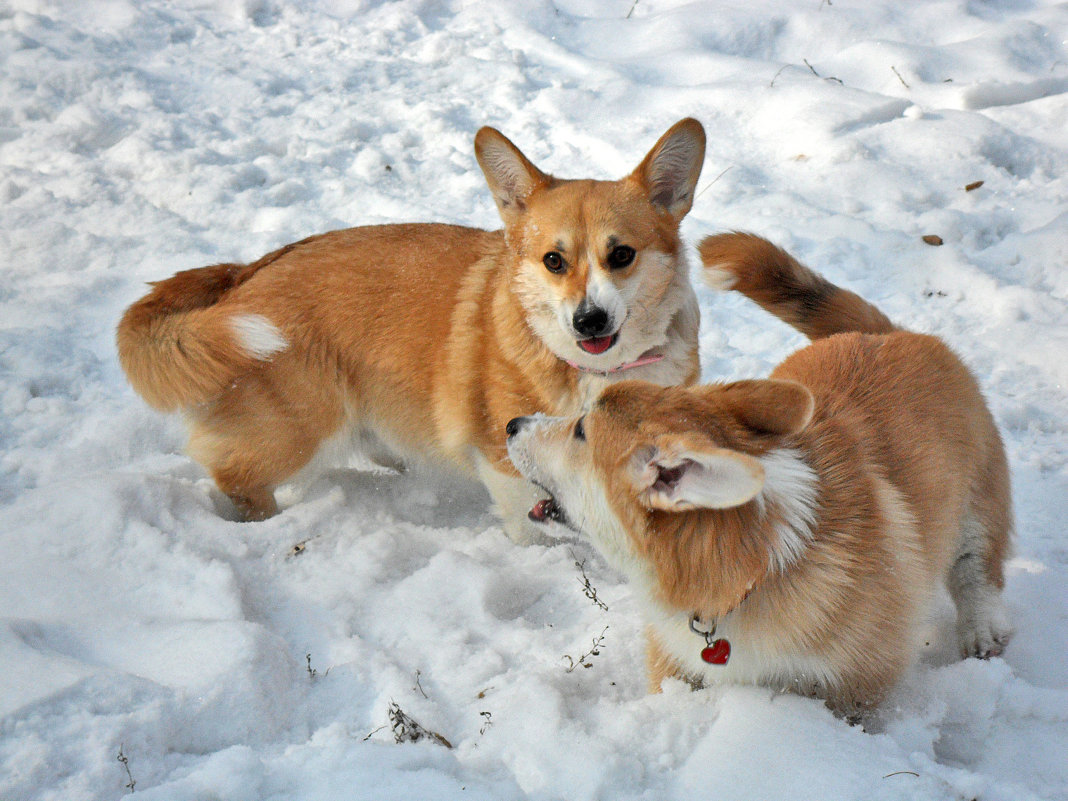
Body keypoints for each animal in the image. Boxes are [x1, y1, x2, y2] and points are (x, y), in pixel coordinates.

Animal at [119, 119, 709, 542]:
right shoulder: (505, 460)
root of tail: (240, 278)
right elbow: (533, 523)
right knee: (236, 478)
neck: (597, 370)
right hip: (298, 428)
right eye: (553, 261)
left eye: (622, 254)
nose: (589, 320)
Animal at [504, 230, 1012, 713]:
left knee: (977, 572)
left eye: (580, 430)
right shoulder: (675, 659)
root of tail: (885, 332)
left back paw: (981, 630)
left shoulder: (861, 685)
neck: (751, 573)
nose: (512, 424)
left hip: (977, 508)